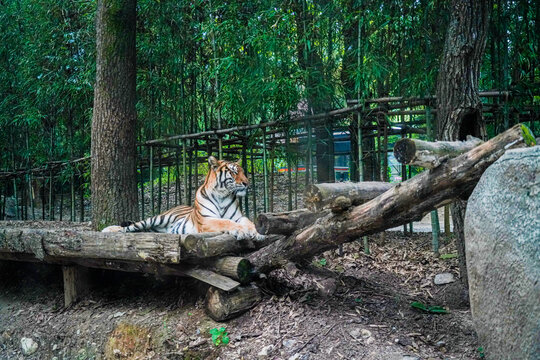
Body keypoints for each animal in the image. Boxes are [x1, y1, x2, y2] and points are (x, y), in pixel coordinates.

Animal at [102, 156, 264, 240]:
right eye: (233, 172)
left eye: (243, 171)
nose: (247, 183)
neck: (222, 195)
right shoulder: (206, 220)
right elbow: (224, 222)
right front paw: (241, 231)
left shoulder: (239, 217)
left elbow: (249, 222)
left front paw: (256, 232)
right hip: (157, 218)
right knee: (131, 227)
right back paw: (109, 230)